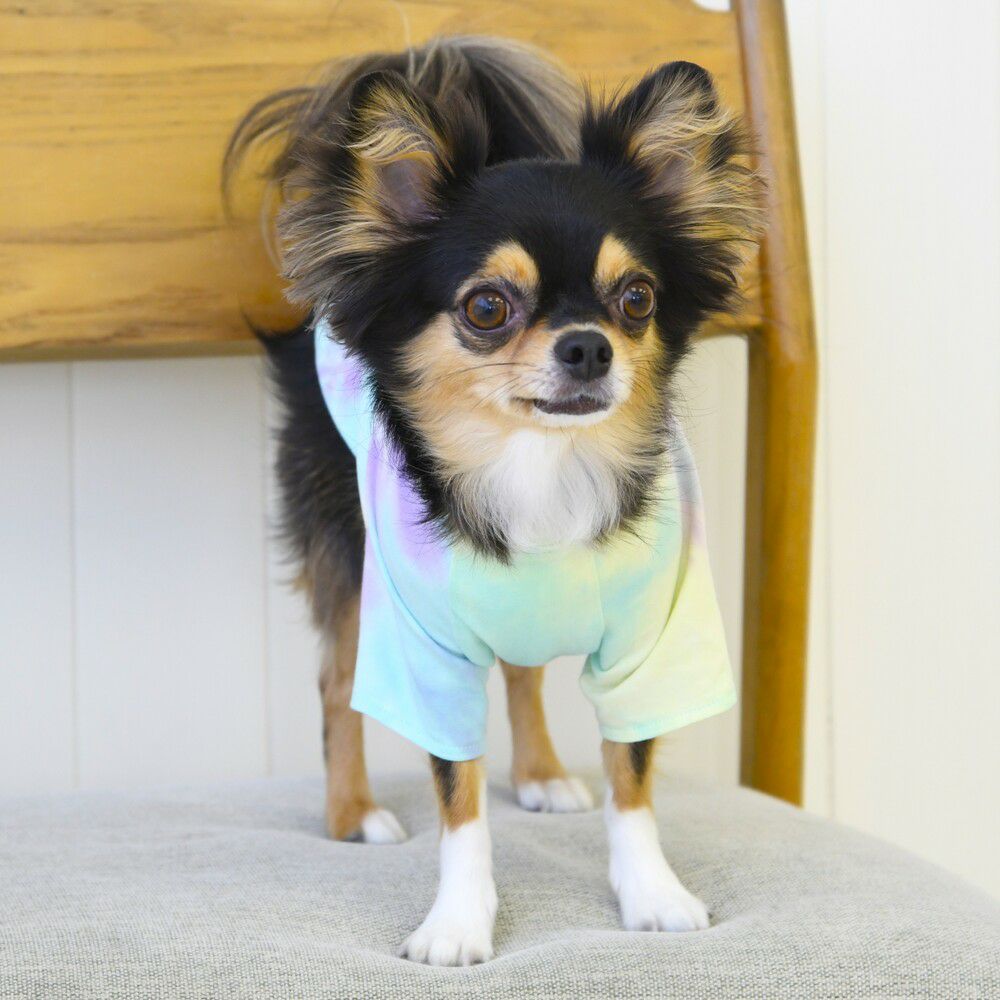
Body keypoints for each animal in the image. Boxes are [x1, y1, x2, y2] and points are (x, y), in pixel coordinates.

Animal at [225, 35, 760, 966]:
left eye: (637, 300)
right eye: (486, 307)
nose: (588, 346)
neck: (539, 465)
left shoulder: (648, 647)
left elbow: (633, 775)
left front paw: (651, 892)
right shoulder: (428, 654)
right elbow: (459, 798)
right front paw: (459, 922)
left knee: (520, 670)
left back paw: (541, 773)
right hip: (345, 544)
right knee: (337, 678)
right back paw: (351, 811)